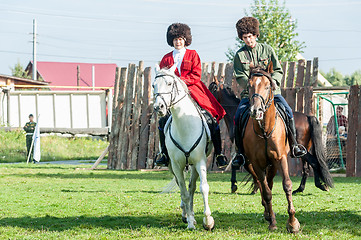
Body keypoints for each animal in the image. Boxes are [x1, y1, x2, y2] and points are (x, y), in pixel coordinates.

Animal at [152, 64, 214, 230]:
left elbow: (203, 188)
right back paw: (186, 215)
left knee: (192, 187)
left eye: (169, 83)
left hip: (193, 165)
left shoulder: (200, 161)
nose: (159, 107)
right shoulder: (176, 165)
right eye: (153, 85)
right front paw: (191, 222)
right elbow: (184, 192)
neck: (184, 125)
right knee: (184, 188)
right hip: (172, 166)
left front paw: (208, 220)